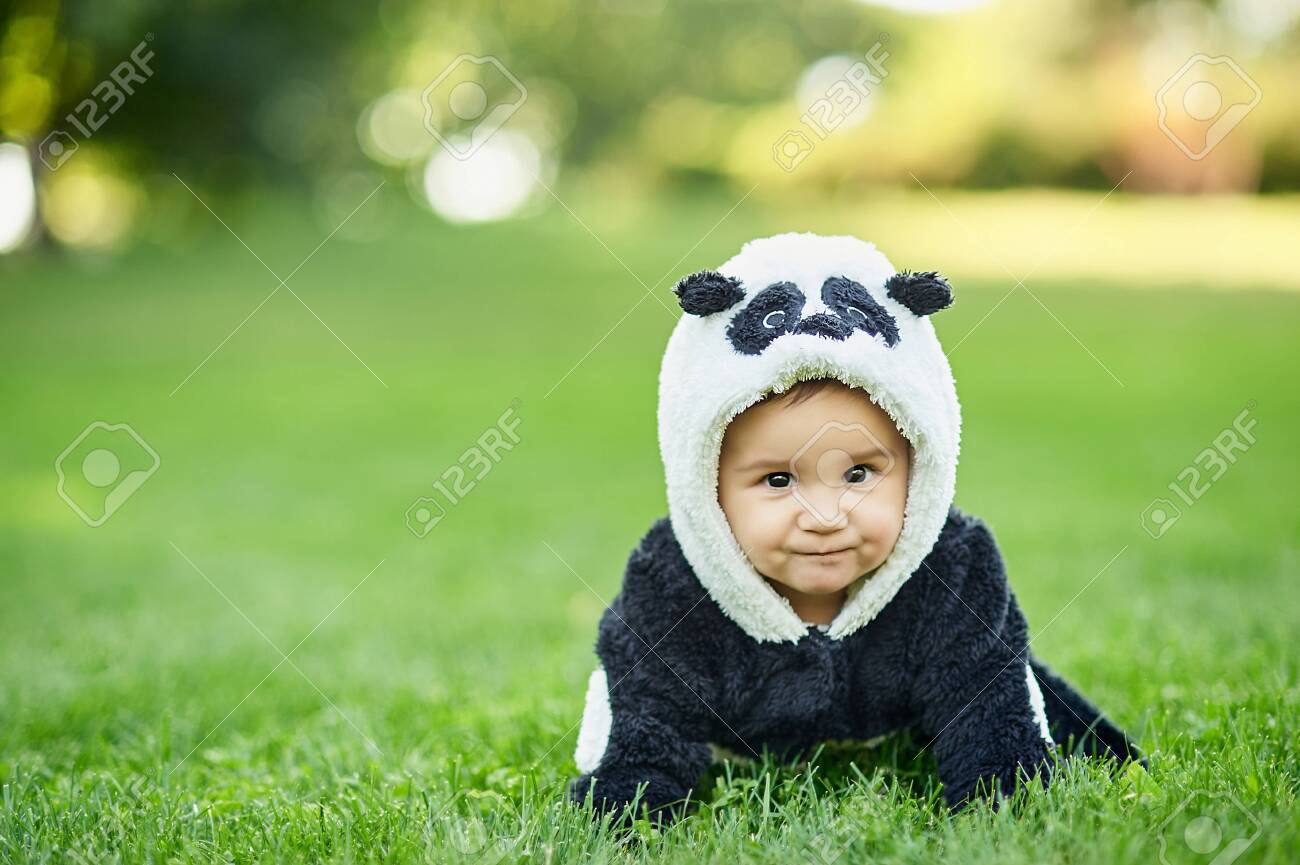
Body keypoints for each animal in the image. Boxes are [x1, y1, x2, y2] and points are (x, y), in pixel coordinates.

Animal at [567, 233, 1143, 824]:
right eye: (778, 480)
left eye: (857, 473)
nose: (826, 522)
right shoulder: (660, 591)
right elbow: (649, 712)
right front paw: (626, 816)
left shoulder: (966, 569)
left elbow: (986, 695)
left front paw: (1006, 807)